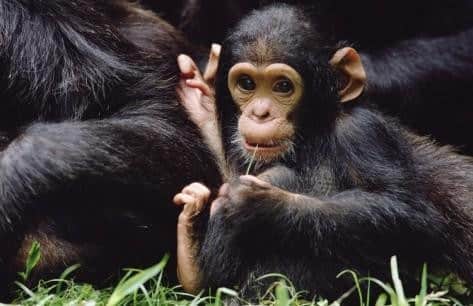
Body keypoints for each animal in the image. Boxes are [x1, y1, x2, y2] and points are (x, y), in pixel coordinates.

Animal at [173, 3, 473, 300]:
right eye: (247, 83)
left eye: (283, 86)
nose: (260, 113)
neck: (310, 138)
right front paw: (202, 106)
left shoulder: (363, 132)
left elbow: (410, 214)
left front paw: (258, 204)